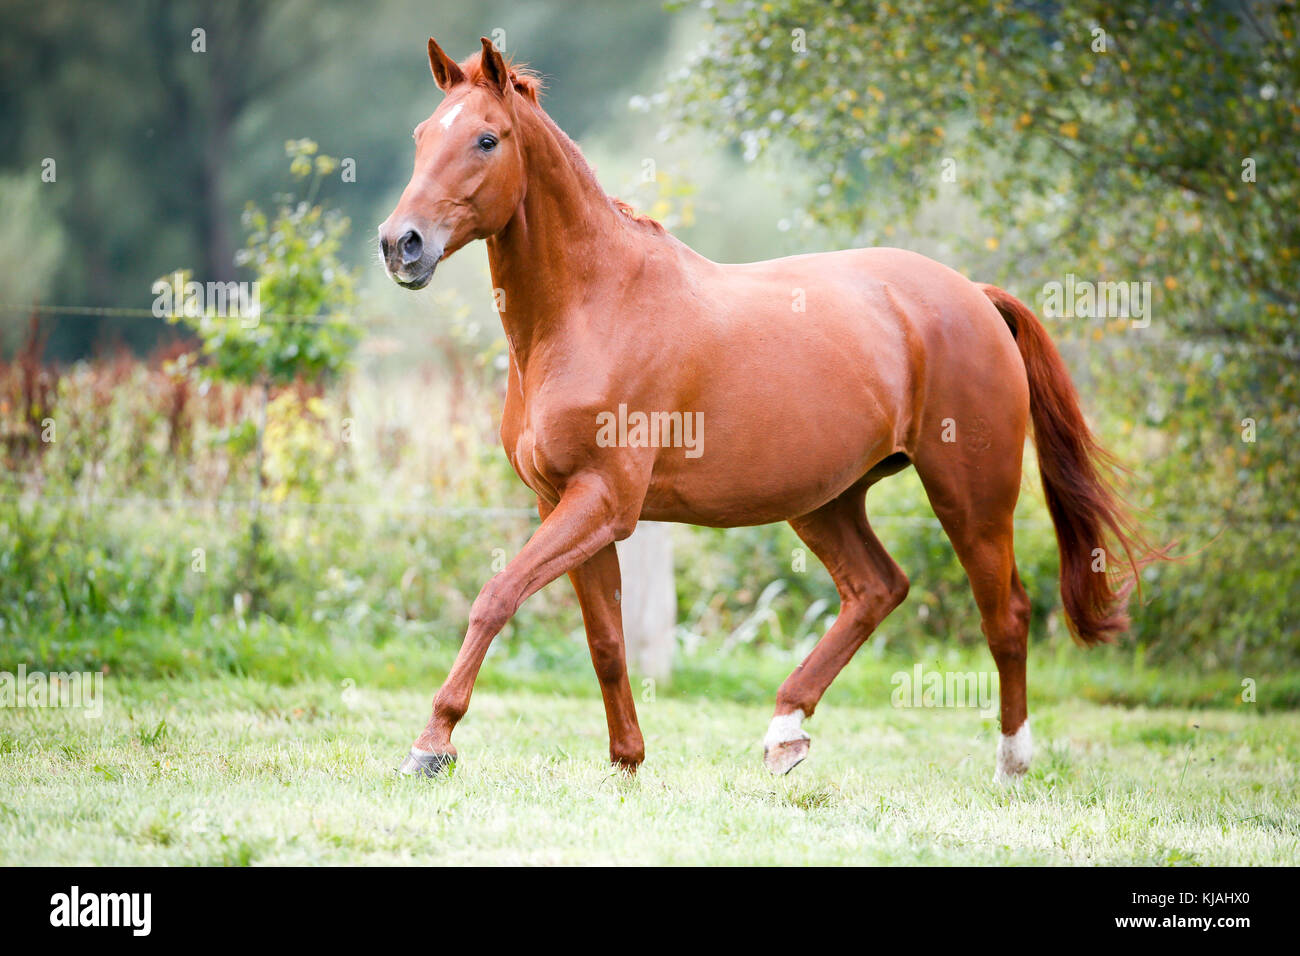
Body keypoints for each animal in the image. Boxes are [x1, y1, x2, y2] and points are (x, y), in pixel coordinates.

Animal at [379, 37, 1149, 785]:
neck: (592, 308)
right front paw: (627, 760)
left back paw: (1012, 763)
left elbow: (496, 596)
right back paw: (786, 733)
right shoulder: (562, 503)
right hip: (827, 501)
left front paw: (431, 745)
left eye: (486, 139)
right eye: (419, 135)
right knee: (877, 589)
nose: (400, 244)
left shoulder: (603, 501)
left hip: (971, 498)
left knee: (1006, 615)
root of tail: (976, 296)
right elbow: (606, 641)